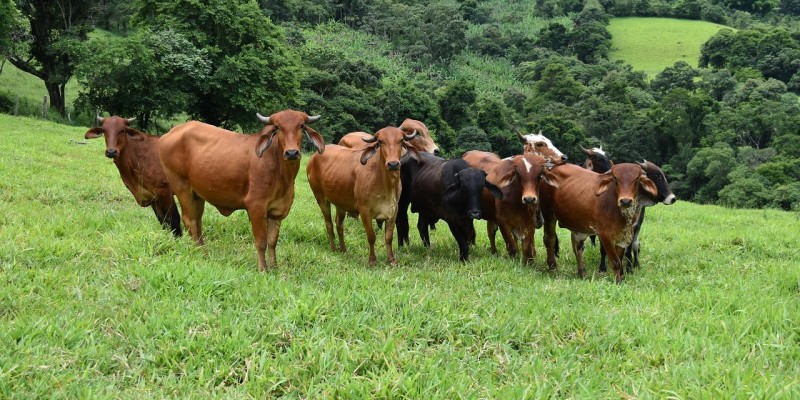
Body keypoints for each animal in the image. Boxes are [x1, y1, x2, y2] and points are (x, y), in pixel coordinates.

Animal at [159, 111, 324, 270]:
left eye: (301, 126)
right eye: (277, 127)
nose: (291, 153)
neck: (282, 174)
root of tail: (171, 132)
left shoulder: (276, 210)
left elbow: (272, 241)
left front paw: (274, 268)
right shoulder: (256, 206)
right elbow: (261, 241)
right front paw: (263, 269)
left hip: (197, 194)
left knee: (197, 221)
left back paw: (203, 251)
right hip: (182, 187)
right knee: (190, 220)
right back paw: (199, 253)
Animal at [306, 128, 422, 266]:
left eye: (401, 140)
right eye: (380, 141)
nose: (393, 164)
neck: (386, 185)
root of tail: (315, 155)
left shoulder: (393, 210)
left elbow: (388, 237)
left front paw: (391, 260)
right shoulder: (364, 210)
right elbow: (371, 236)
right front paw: (372, 260)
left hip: (341, 204)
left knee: (339, 225)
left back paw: (343, 250)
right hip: (320, 197)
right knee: (329, 224)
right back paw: (333, 249)